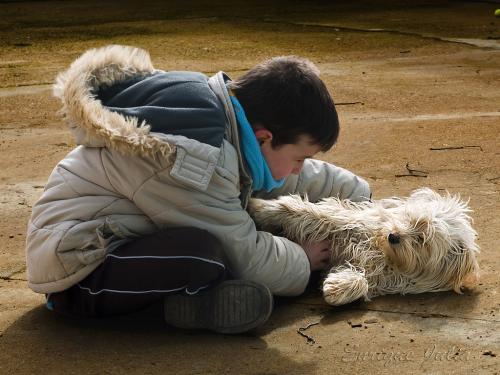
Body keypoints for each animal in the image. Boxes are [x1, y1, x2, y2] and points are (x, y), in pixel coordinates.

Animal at [249, 189, 480, 306]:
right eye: (409, 218)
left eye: (422, 239)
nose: (393, 236)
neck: (381, 251)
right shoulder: (346, 223)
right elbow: (314, 215)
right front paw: (260, 206)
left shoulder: (379, 274)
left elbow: (361, 279)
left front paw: (338, 288)